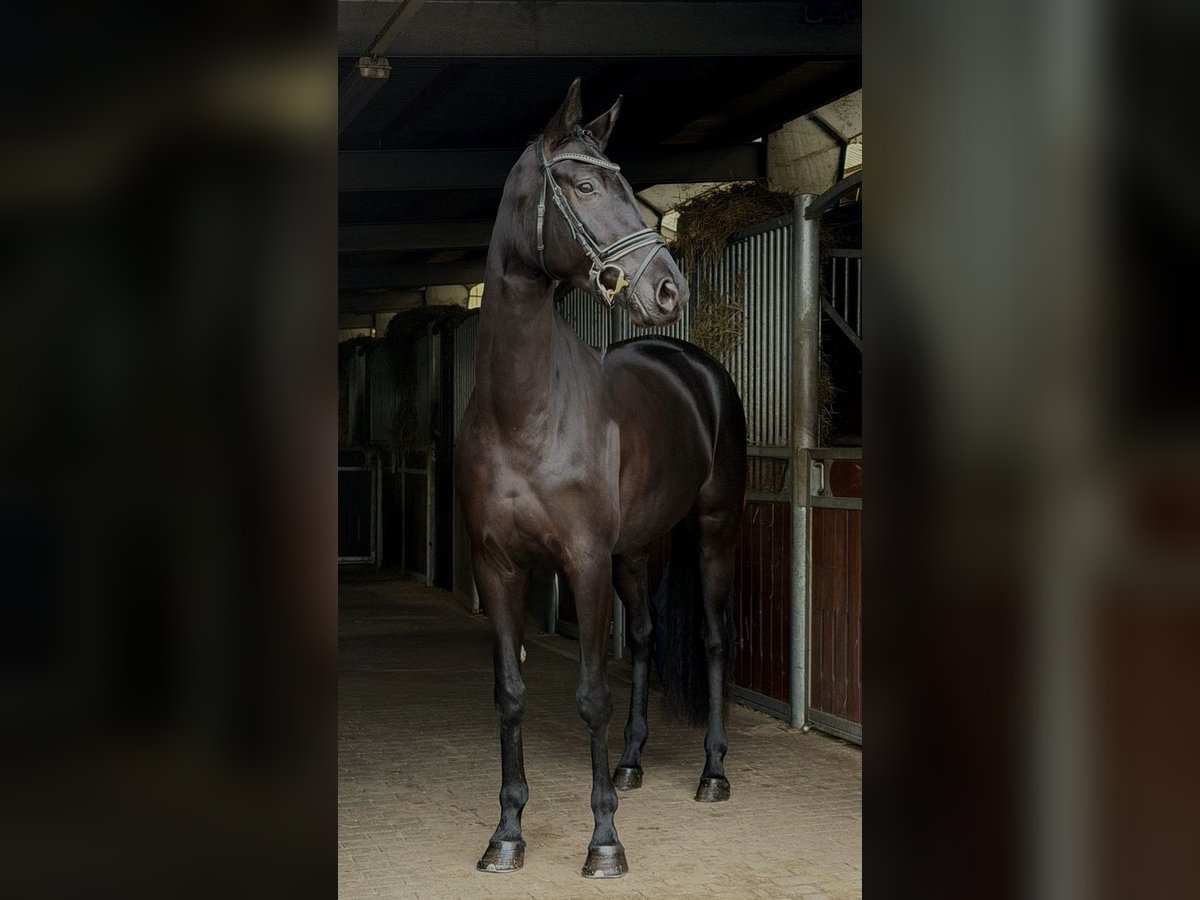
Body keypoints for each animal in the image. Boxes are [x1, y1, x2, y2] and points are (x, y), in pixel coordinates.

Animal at [455, 78, 747, 879]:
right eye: (584, 186)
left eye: (626, 185)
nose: (669, 289)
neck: (525, 411)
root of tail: (694, 366)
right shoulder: (498, 567)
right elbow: (510, 693)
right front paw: (507, 834)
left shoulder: (581, 563)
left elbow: (590, 696)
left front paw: (605, 842)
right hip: (635, 552)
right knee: (643, 639)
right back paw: (632, 764)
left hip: (712, 530)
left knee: (712, 640)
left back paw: (712, 773)